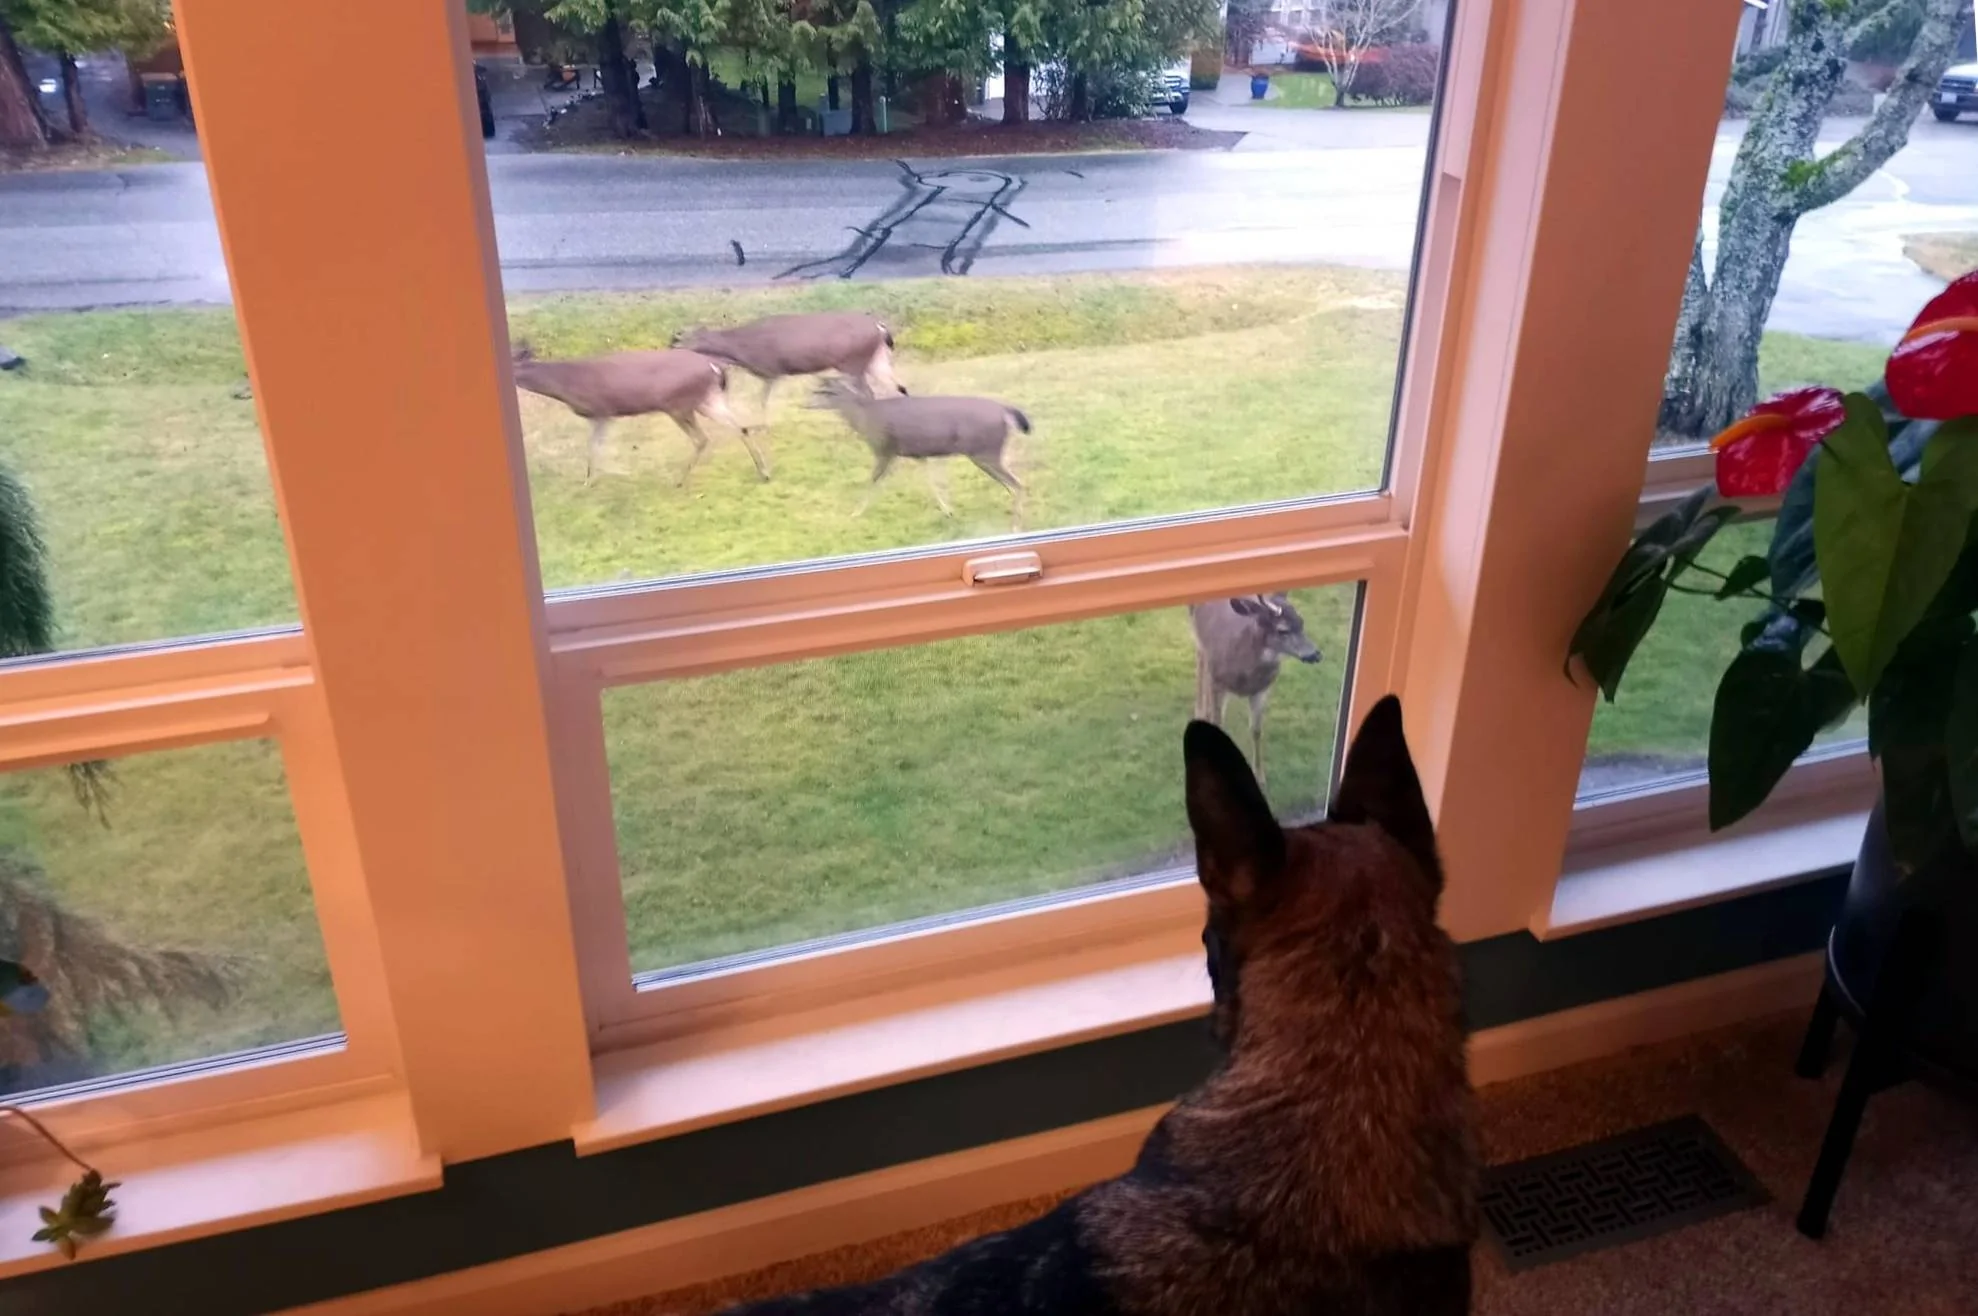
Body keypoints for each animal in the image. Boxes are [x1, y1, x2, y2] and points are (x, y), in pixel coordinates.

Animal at [509, 344, 767, 488]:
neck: (564, 384)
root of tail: (713, 365)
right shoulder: (603, 415)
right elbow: (595, 447)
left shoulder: (602, 412)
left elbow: (594, 447)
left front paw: (592, 480)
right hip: (706, 399)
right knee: (739, 427)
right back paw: (764, 472)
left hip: (677, 404)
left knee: (702, 438)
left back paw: (678, 480)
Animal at [673, 312, 904, 429]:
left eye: (683, 338)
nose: (672, 346)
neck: (740, 351)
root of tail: (879, 326)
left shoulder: (770, 370)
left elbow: (762, 401)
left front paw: (763, 425)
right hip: (873, 359)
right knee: (895, 386)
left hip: (853, 361)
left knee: (869, 392)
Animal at [807, 378, 1027, 524]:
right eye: (816, 390)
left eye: (825, 392)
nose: (806, 404)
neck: (865, 419)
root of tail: (1005, 412)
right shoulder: (917, 453)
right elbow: (931, 482)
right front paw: (948, 511)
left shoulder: (884, 449)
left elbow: (873, 480)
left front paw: (855, 513)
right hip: (987, 453)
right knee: (1012, 483)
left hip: (986, 452)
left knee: (1017, 483)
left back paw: (1016, 522)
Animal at [1188, 594, 1323, 787]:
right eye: (1282, 630)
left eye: (1302, 622)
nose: (1315, 654)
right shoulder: (1218, 682)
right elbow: (1218, 723)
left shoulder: (1262, 690)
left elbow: (1256, 730)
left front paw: (1259, 776)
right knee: (1200, 663)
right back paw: (1200, 710)